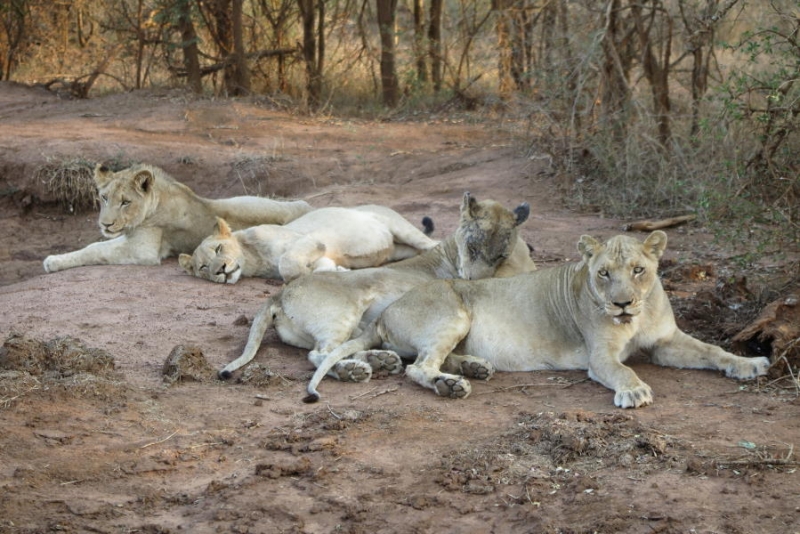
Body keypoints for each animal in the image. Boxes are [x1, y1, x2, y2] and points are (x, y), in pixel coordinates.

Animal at [42, 164, 312, 274]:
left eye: (125, 202)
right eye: (104, 198)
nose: (104, 224)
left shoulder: (143, 250)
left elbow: (95, 250)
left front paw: (53, 261)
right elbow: (94, 245)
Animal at [177, 205, 438, 284]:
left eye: (219, 249)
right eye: (203, 267)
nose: (220, 270)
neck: (254, 261)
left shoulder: (308, 240)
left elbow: (287, 264)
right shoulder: (319, 255)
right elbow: (321, 267)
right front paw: (338, 271)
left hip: (401, 227)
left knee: (432, 243)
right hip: (397, 249)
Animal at [217, 195, 536, 384]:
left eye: (500, 254)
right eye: (472, 247)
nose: (472, 281)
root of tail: (278, 294)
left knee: (342, 350)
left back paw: (382, 361)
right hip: (341, 314)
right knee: (321, 355)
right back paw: (356, 370)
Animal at [304, 230, 768, 410]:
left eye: (638, 270)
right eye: (604, 273)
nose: (621, 305)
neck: (635, 319)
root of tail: (387, 311)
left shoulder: (667, 341)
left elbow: (712, 350)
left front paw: (750, 364)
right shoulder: (600, 356)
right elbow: (622, 370)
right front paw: (634, 392)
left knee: (427, 359)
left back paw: (473, 368)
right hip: (454, 311)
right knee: (417, 367)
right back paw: (452, 385)